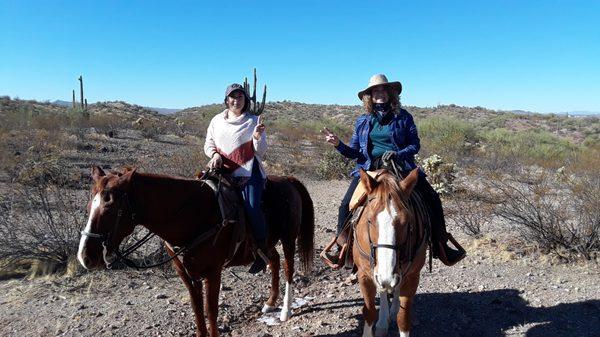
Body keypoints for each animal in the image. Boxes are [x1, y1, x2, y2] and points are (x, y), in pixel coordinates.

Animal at [76, 166, 314, 336]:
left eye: (110, 207)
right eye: (88, 207)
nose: (85, 256)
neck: (191, 214)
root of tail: (288, 180)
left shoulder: (213, 272)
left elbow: (211, 311)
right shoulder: (187, 275)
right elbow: (198, 311)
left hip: (288, 239)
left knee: (288, 267)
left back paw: (285, 311)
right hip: (266, 244)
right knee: (274, 260)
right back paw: (270, 303)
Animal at [354, 168, 428, 336]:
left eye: (407, 221)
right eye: (369, 220)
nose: (386, 275)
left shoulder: (413, 276)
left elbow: (404, 319)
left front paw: (396, 313)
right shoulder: (364, 275)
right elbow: (369, 312)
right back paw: (382, 323)